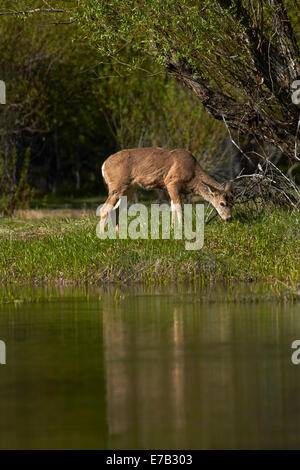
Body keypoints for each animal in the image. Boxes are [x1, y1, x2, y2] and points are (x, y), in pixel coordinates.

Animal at [99, 148, 233, 232]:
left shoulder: (180, 189)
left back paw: (118, 233)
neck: (193, 174)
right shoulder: (171, 182)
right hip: (117, 185)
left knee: (116, 209)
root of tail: (104, 165)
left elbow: (174, 206)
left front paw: (173, 228)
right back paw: (102, 234)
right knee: (104, 209)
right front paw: (181, 228)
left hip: (130, 188)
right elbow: (178, 206)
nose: (229, 218)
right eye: (222, 203)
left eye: (233, 202)